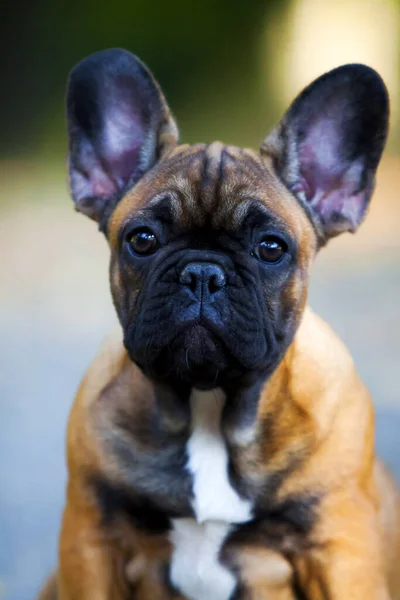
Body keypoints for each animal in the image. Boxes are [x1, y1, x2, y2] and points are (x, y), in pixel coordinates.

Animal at [38, 48, 400, 600]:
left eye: (271, 248)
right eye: (141, 240)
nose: (202, 273)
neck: (207, 402)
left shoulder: (340, 550)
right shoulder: (90, 543)